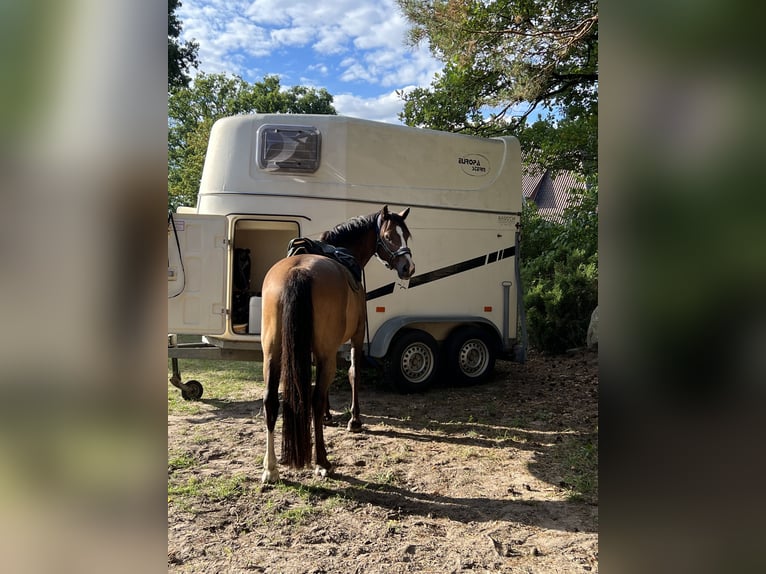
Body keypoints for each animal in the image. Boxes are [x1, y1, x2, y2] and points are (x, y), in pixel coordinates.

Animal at [260, 205, 416, 484]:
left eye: (406, 235)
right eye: (389, 236)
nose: (408, 267)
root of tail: (297, 271)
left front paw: (328, 415)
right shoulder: (355, 337)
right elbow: (354, 374)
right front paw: (354, 420)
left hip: (272, 353)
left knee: (270, 401)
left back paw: (271, 468)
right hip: (324, 352)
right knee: (313, 399)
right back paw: (322, 462)